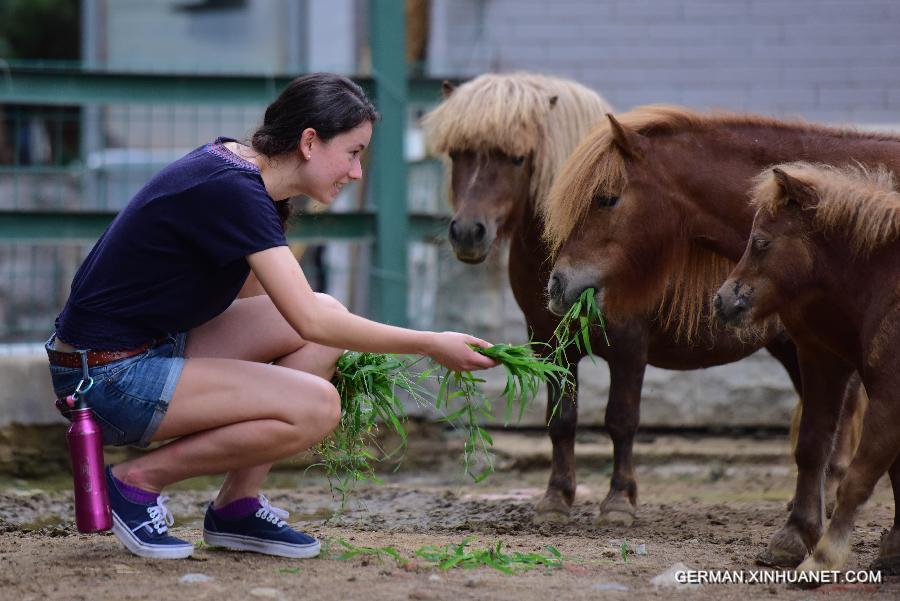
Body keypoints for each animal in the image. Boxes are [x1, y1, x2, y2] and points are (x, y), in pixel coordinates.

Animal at [422, 74, 800, 524]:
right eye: (457, 153)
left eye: (517, 159)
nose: (468, 233)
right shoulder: (551, 345)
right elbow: (561, 421)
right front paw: (556, 498)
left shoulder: (629, 347)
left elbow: (621, 420)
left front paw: (619, 501)